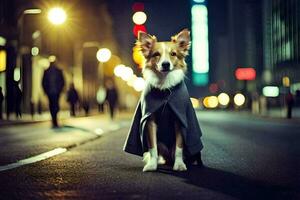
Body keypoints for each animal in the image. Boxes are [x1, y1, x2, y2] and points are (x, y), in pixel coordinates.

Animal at [137, 28, 191, 171]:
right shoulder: (150, 120)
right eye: (156, 54)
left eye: (173, 54)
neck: (165, 85)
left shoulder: (179, 120)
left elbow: (179, 147)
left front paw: (179, 165)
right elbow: (152, 147)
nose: (165, 64)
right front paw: (152, 165)